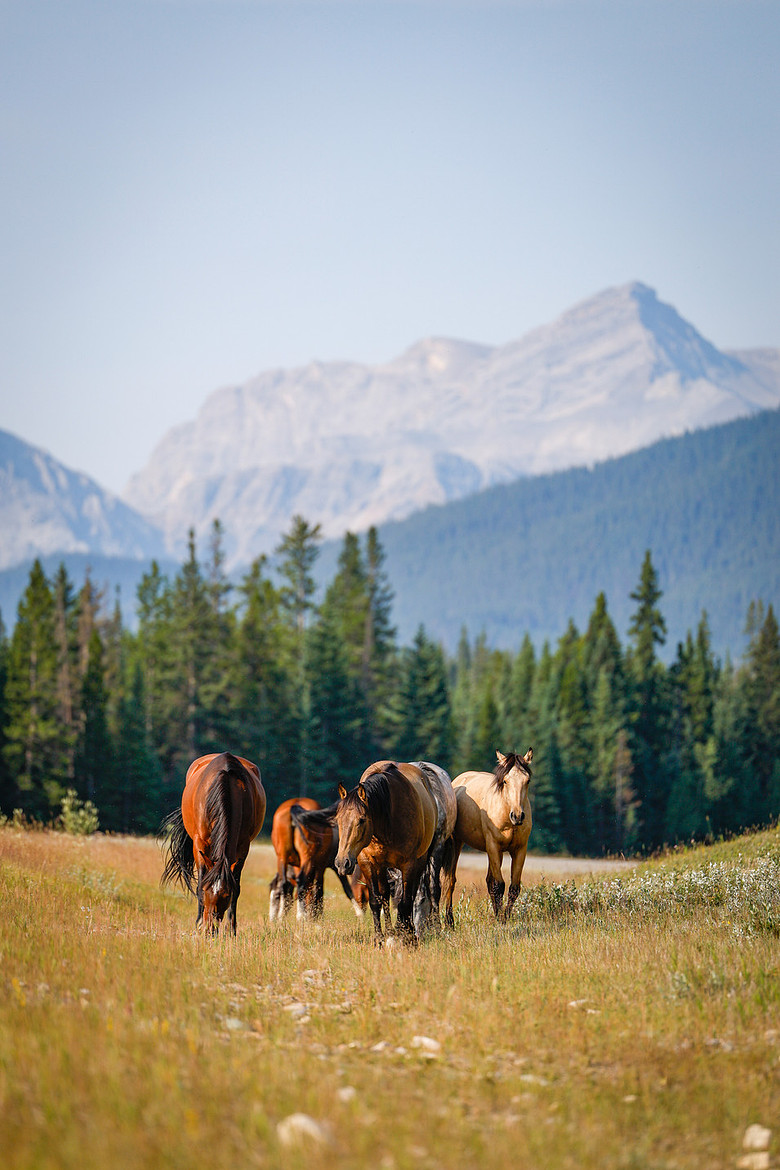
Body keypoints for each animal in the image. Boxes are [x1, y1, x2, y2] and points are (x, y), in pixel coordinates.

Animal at [160, 752, 266, 935]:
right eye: (205, 892)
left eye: (226, 895)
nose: (210, 929)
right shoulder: (199, 844)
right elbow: (200, 880)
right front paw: (198, 923)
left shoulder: (243, 847)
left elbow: (237, 887)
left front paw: (231, 930)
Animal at [334, 761, 437, 944]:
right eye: (338, 819)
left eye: (361, 820)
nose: (342, 863)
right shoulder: (367, 863)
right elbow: (376, 901)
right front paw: (380, 938)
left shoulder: (409, 865)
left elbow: (405, 901)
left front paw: (405, 935)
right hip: (382, 867)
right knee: (385, 895)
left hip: (419, 863)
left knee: (411, 896)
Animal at [441, 748, 533, 926]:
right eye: (505, 781)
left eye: (527, 781)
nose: (517, 816)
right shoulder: (493, 846)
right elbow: (498, 885)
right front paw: (500, 920)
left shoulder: (519, 850)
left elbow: (513, 887)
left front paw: (504, 917)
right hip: (457, 843)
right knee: (449, 880)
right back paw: (449, 921)